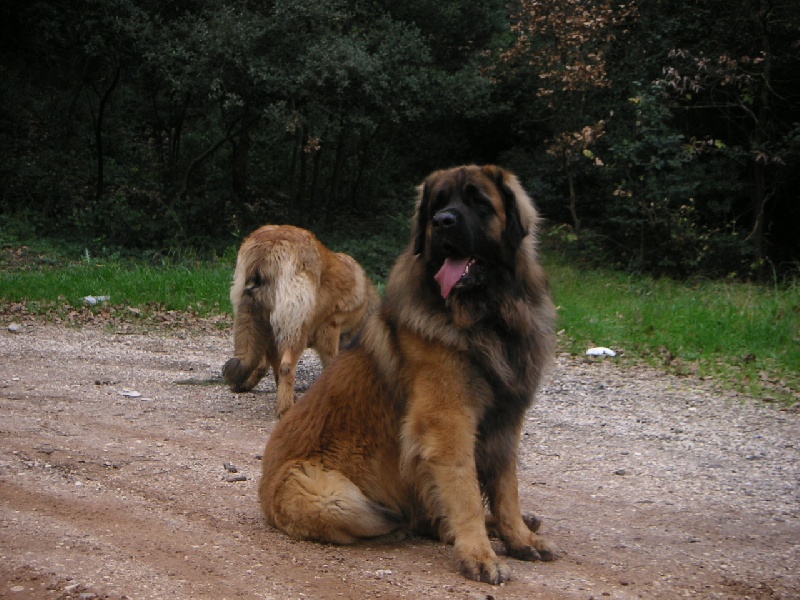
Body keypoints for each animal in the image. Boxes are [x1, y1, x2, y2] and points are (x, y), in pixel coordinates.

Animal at [220, 225, 380, 418]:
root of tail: (269, 246)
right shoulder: (330, 327)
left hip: (265, 322)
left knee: (276, 365)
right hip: (297, 329)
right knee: (286, 367)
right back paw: (286, 408)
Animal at [260, 166, 560, 584]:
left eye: (478, 200)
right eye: (438, 204)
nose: (442, 222)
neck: (487, 315)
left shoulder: (506, 420)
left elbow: (505, 488)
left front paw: (518, 536)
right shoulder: (448, 424)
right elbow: (466, 491)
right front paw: (479, 554)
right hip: (331, 495)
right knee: (402, 518)